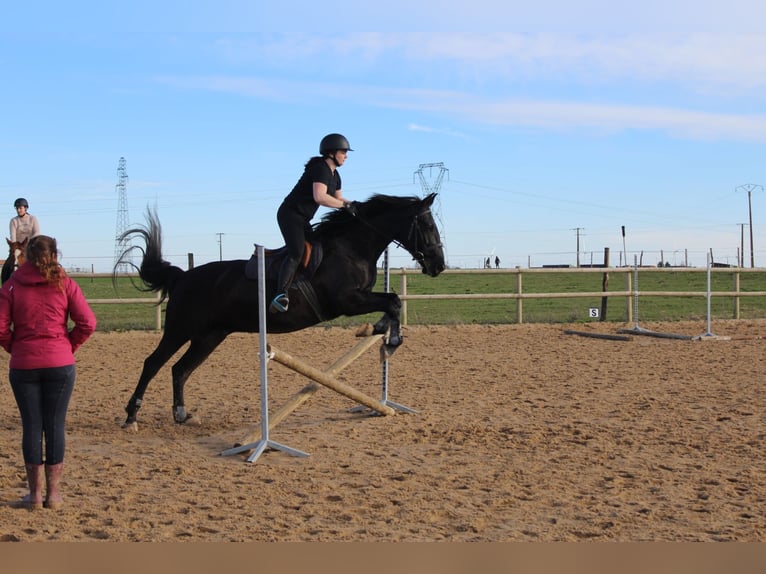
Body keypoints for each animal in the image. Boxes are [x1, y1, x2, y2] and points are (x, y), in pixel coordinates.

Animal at [114, 193, 445, 428]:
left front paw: (380, 331)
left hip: (210, 336)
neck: (351, 247)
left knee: (180, 369)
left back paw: (182, 414)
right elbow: (393, 301)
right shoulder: (346, 301)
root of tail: (182, 277)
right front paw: (389, 340)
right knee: (153, 364)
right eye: (429, 225)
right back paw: (131, 415)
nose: (439, 265)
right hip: (181, 328)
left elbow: (392, 301)